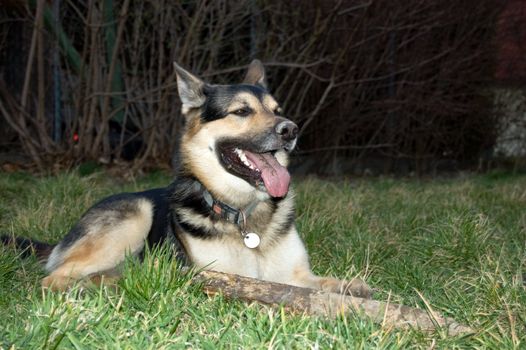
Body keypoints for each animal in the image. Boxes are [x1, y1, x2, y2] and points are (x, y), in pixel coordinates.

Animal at [2, 60, 374, 298]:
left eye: (276, 109)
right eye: (242, 111)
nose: (291, 130)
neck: (243, 213)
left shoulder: (297, 274)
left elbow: (320, 283)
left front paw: (350, 287)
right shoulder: (227, 275)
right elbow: (271, 289)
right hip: (134, 216)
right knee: (54, 279)